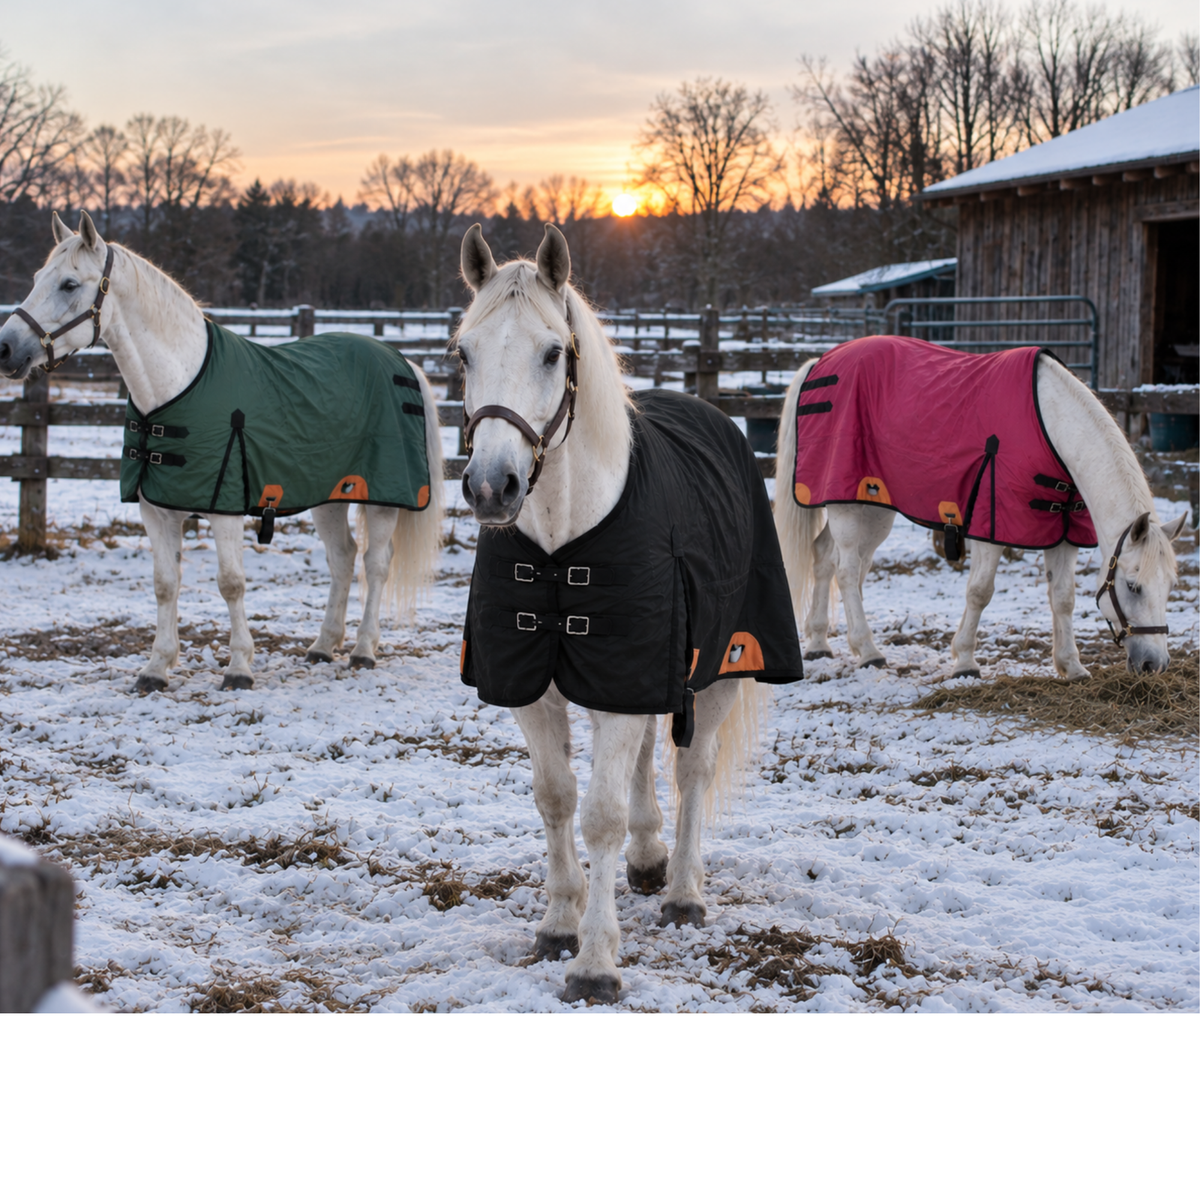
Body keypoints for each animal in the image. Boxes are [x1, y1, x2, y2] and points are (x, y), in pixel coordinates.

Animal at [0, 212, 443, 692]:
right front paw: (156, 668)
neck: (177, 386)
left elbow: (231, 583)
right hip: (330, 494)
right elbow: (165, 583)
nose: (5, 347)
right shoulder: (155, 510)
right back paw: (323, 646)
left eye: (68, 284)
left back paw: (363, 650)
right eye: (36, 279)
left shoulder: (224, 508)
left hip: (382, 499)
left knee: (375, 564)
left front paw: (239, 668)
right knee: (342, 558)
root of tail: (402, 360)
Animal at [454, 223, 803, 1004]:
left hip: (722, 665)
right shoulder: (541, 684)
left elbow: (602, 815)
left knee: (693, 769)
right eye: (462, 351)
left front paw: (595, 963)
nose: (491, 487)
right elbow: (555, 797)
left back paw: (682, 893)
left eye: (553, 352)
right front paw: (559, 924)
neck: (561, 548)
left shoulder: (633, 675)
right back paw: (649, 861)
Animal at [774, 338, 1187, 679]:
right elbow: (980, 592)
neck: (1050, 428)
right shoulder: (991, 525)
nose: (1154, 664)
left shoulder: (1063, 533)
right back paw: (868, 651)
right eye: (1133, 586)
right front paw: (965, 662)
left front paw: (1071, 666)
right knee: (845, 571)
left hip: (872, 508)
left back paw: (819, 643)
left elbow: (1063, 597)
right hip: (847, 507)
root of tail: (821, 362)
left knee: (828, 559)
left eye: (1170, 587)